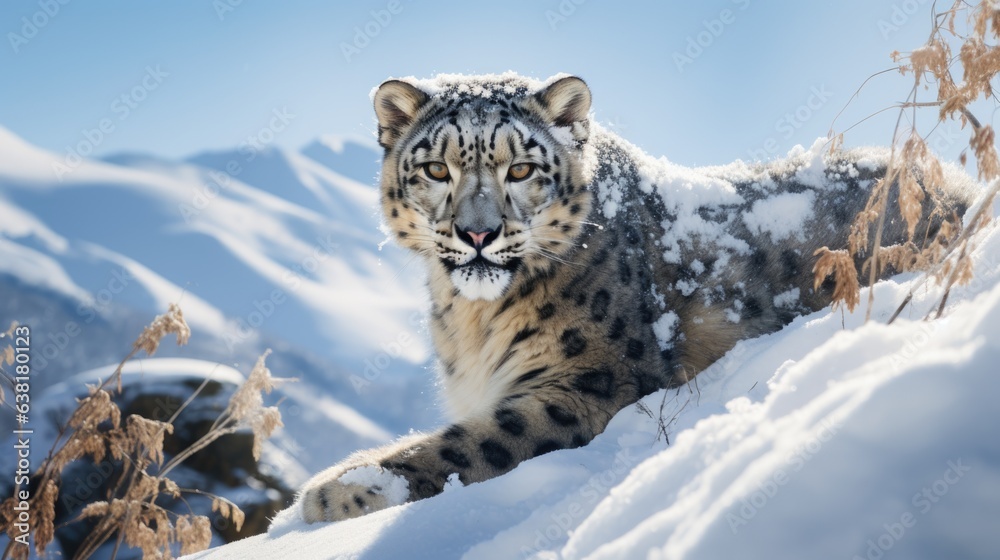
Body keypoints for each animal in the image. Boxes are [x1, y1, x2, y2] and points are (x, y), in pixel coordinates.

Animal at [296, 72, 976, 523]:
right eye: (437, 169)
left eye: (522, 169)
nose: (478, 233)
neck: (471, 320)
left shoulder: (587, 384)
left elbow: (472, 439)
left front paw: (334, 488)